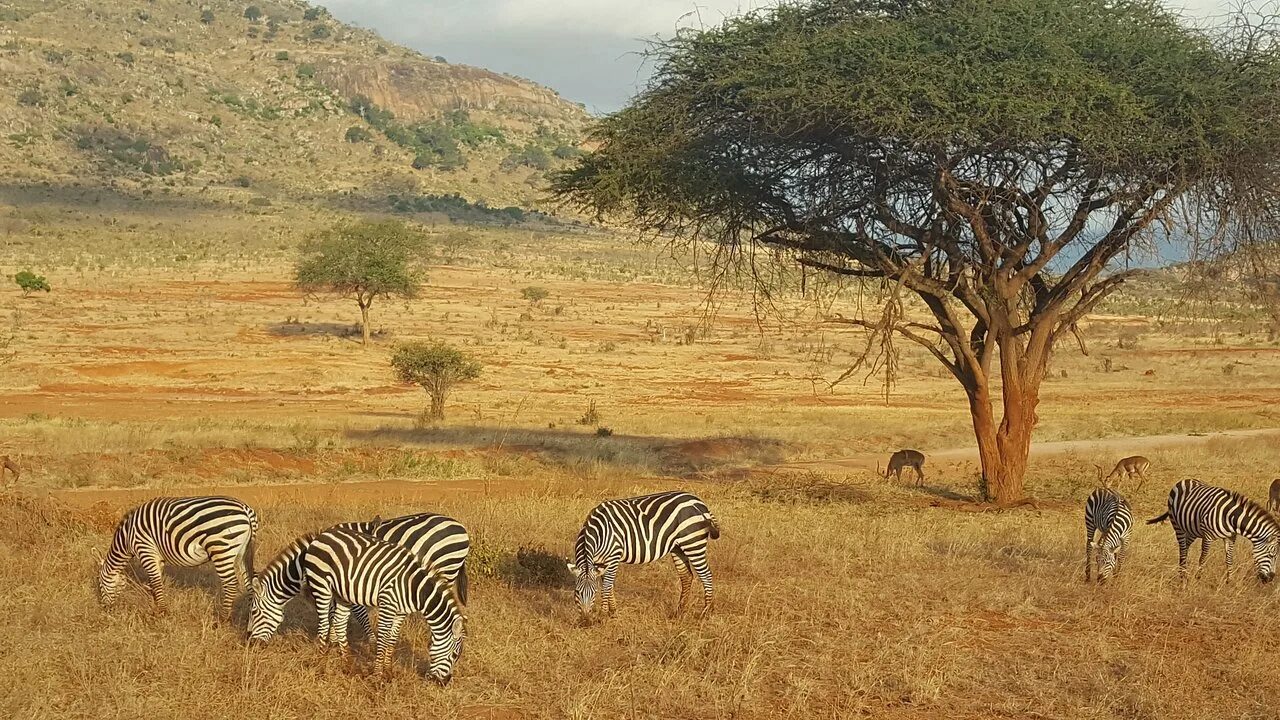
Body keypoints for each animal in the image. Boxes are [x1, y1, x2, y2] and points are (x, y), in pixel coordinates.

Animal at [96, 491, 257, 617]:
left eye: (100, 584)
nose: (105, 608)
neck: (127, 538)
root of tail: (245, 509)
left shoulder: (145, 549)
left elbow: (155, 582)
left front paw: (162, 612)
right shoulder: (157, 557)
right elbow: (155, 582)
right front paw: (156, 606)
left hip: (221, 548)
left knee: (231, 583)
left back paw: (222, 618)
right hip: (242, 552)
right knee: (250, 581)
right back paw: (248, 615)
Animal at [244, 509, 471, 638]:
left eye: (254, 612)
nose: (248, 641)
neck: (305, 559)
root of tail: (460, 527)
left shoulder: (347, 581)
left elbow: (354, 616)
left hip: (444, 569)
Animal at [303, 525, 465, 681]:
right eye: (455, 655)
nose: (445, 682)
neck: (414, 587)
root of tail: (323, 534)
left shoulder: (401, 611)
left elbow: (392, 639)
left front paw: (388, 672)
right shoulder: (388, 604)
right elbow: (383, 639)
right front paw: (377, 676)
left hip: (343, 593)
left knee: (339, 623)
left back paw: (349, 666)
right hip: (321, 585)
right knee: (324, 624)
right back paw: (321, 663)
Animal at [563, 489, 716, 614]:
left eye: (594, 593)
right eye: (577, 592)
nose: (586, 620)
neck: (599, 532)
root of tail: (700, 502)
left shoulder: (613, 556)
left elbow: (606, 585)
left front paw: (604, 613)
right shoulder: (599, 561)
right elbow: (608, 584)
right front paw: (613, 610)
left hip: (693, 543)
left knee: (706, 575)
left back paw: (706, 612)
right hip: (678, 547)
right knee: (686, 576)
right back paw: (680, 611)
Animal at [1152, 476, 1280, 584]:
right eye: (1271, 555)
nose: (1270, 579)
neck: (1230, 517)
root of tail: (1185, 480)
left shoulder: (1231, 537)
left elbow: (1229, 559)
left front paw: (1229, 581)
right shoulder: (1207, 537)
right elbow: (1203, 558)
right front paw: (1198, 578)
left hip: (1193, 529)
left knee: (1186, 546)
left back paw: (1183, 571)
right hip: (1177, 525)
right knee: (1182, 549)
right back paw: (1183, 576)